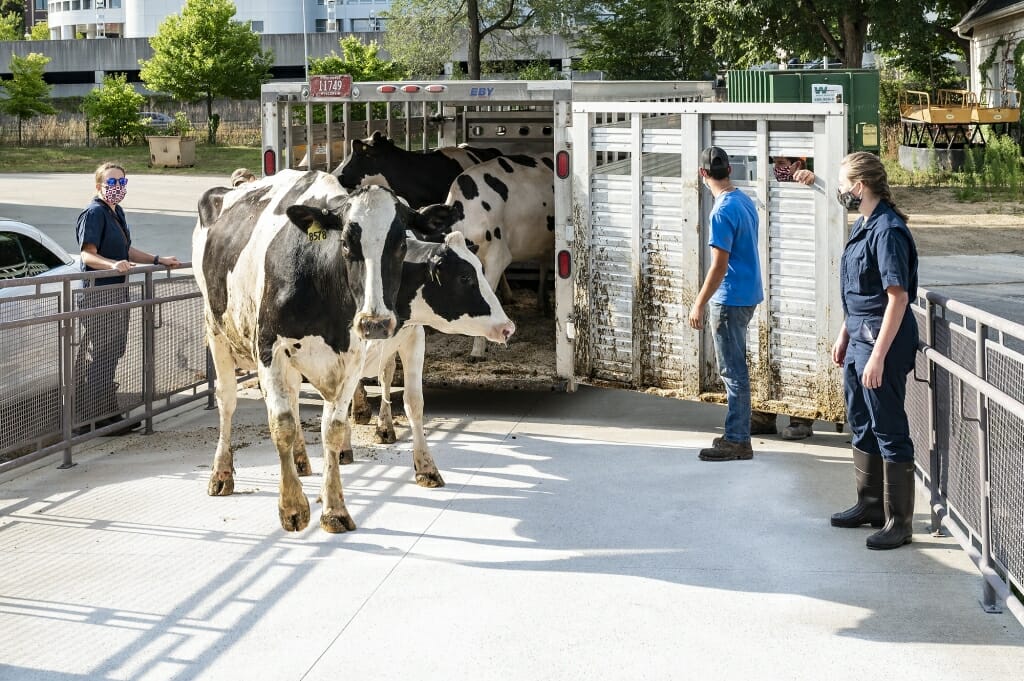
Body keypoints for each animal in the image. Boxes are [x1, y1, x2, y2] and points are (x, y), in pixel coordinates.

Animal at [192, 168, 512, 532]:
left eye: (401, 244)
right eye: (345, 243)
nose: (507, 327)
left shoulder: (371, 351)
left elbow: (344, 423)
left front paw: (335, 507)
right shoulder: (268, 348)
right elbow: (282, 423)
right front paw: (292, 506)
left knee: (296, 396)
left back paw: (301, 460)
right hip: (216, 330)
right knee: (227, 400)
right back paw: (222, 473)